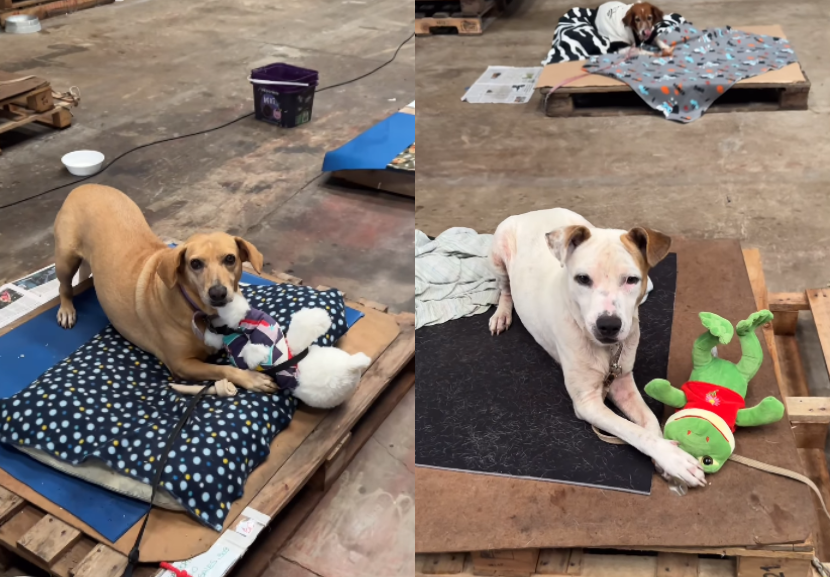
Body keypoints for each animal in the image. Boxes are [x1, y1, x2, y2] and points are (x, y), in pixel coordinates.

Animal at [54, 184, 280, 392]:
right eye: (195, 263)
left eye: (230, 259)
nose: (218, 293)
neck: (196, 309)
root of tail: (86, 186)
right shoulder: (182, 365)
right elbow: (223, 369)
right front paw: (252, 378)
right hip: (65, 259)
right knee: (64, 288)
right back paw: (66, 310)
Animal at [490, 207, 704, 486]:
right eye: (582, 279)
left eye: (632, 279)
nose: (609, 325)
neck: (606, 351)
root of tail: (534, 211)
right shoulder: (588, 402)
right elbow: (632, 430)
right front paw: (674, 459)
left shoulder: (622, 381)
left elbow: (649, 420)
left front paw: (667, 456)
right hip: (498, 255)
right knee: (505, 290)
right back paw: (501, 314)